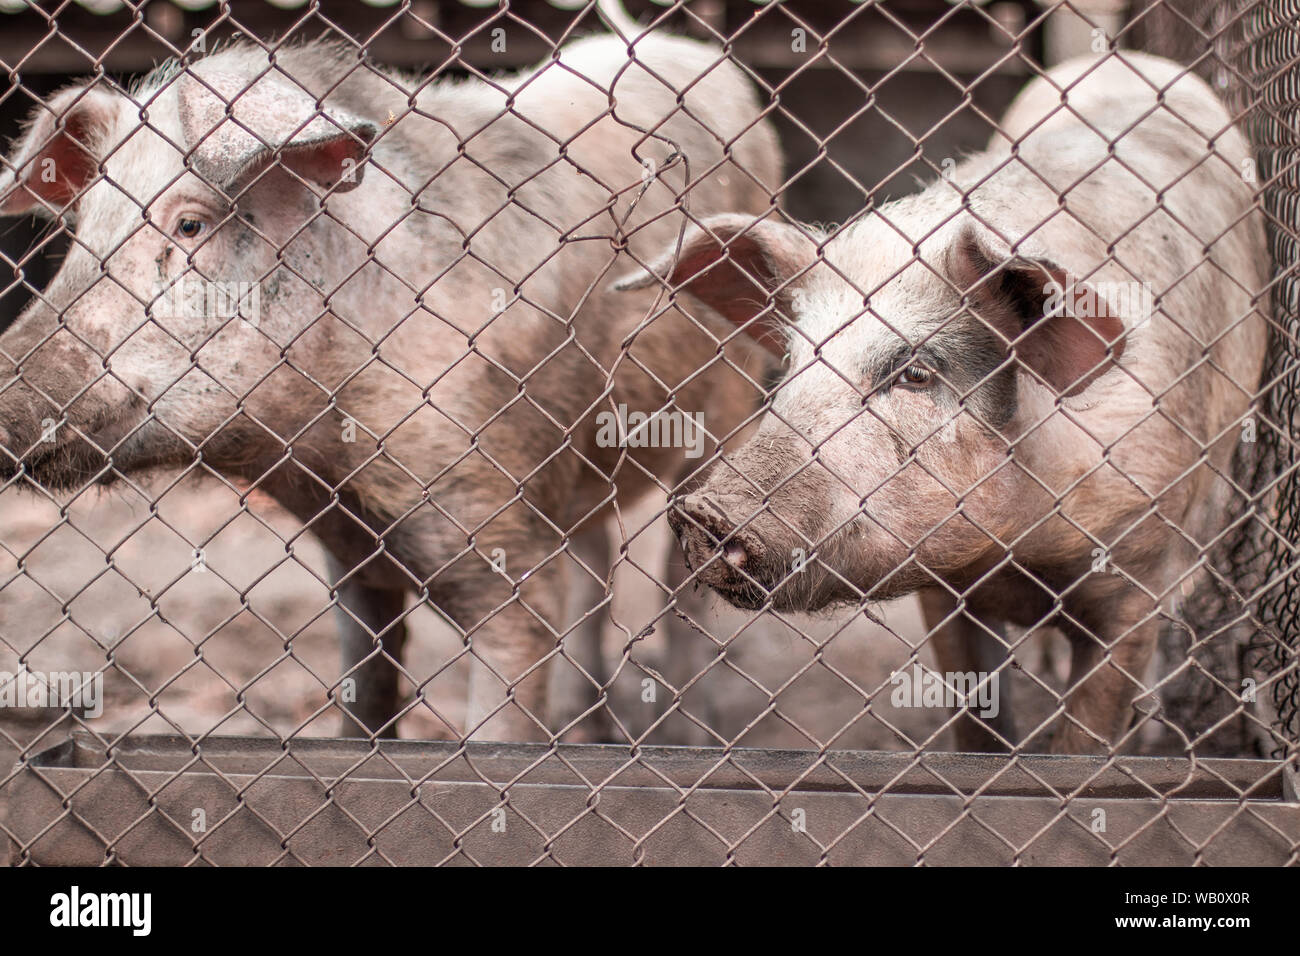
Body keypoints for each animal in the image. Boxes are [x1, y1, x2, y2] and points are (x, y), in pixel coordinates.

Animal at [0, 3, 774, 743]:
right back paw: (587, 733)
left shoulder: (502, 533)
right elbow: (368, 690)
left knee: (679, 577)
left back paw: (692, 737)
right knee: (596, 553)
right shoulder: (351, 555)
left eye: (189, 225)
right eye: (81, 233)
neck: (324, 459)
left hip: (732, 400)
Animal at [618, 52, 1268, 754]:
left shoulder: (1139, 573)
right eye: (792, 362)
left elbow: (1087, 736)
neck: (1020, 549)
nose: (702, 511)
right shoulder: (944, 590)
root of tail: (1128, 57)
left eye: (916, 373)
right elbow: (975, 720)